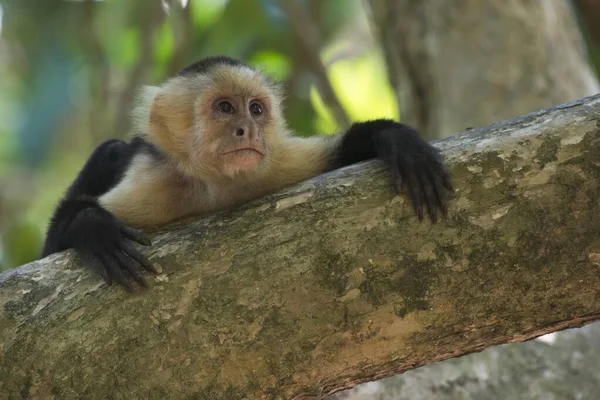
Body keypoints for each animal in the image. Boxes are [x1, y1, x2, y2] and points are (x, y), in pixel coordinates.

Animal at [42, 55, 452, 290]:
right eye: (224, 107)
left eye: (256, 109)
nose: (248, 130)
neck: (219, 184)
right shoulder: (154, 181)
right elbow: (51, 250)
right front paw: (93, 227)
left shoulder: (280, 160)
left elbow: (343, 153)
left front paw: (394, 139)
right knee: (111, 150)